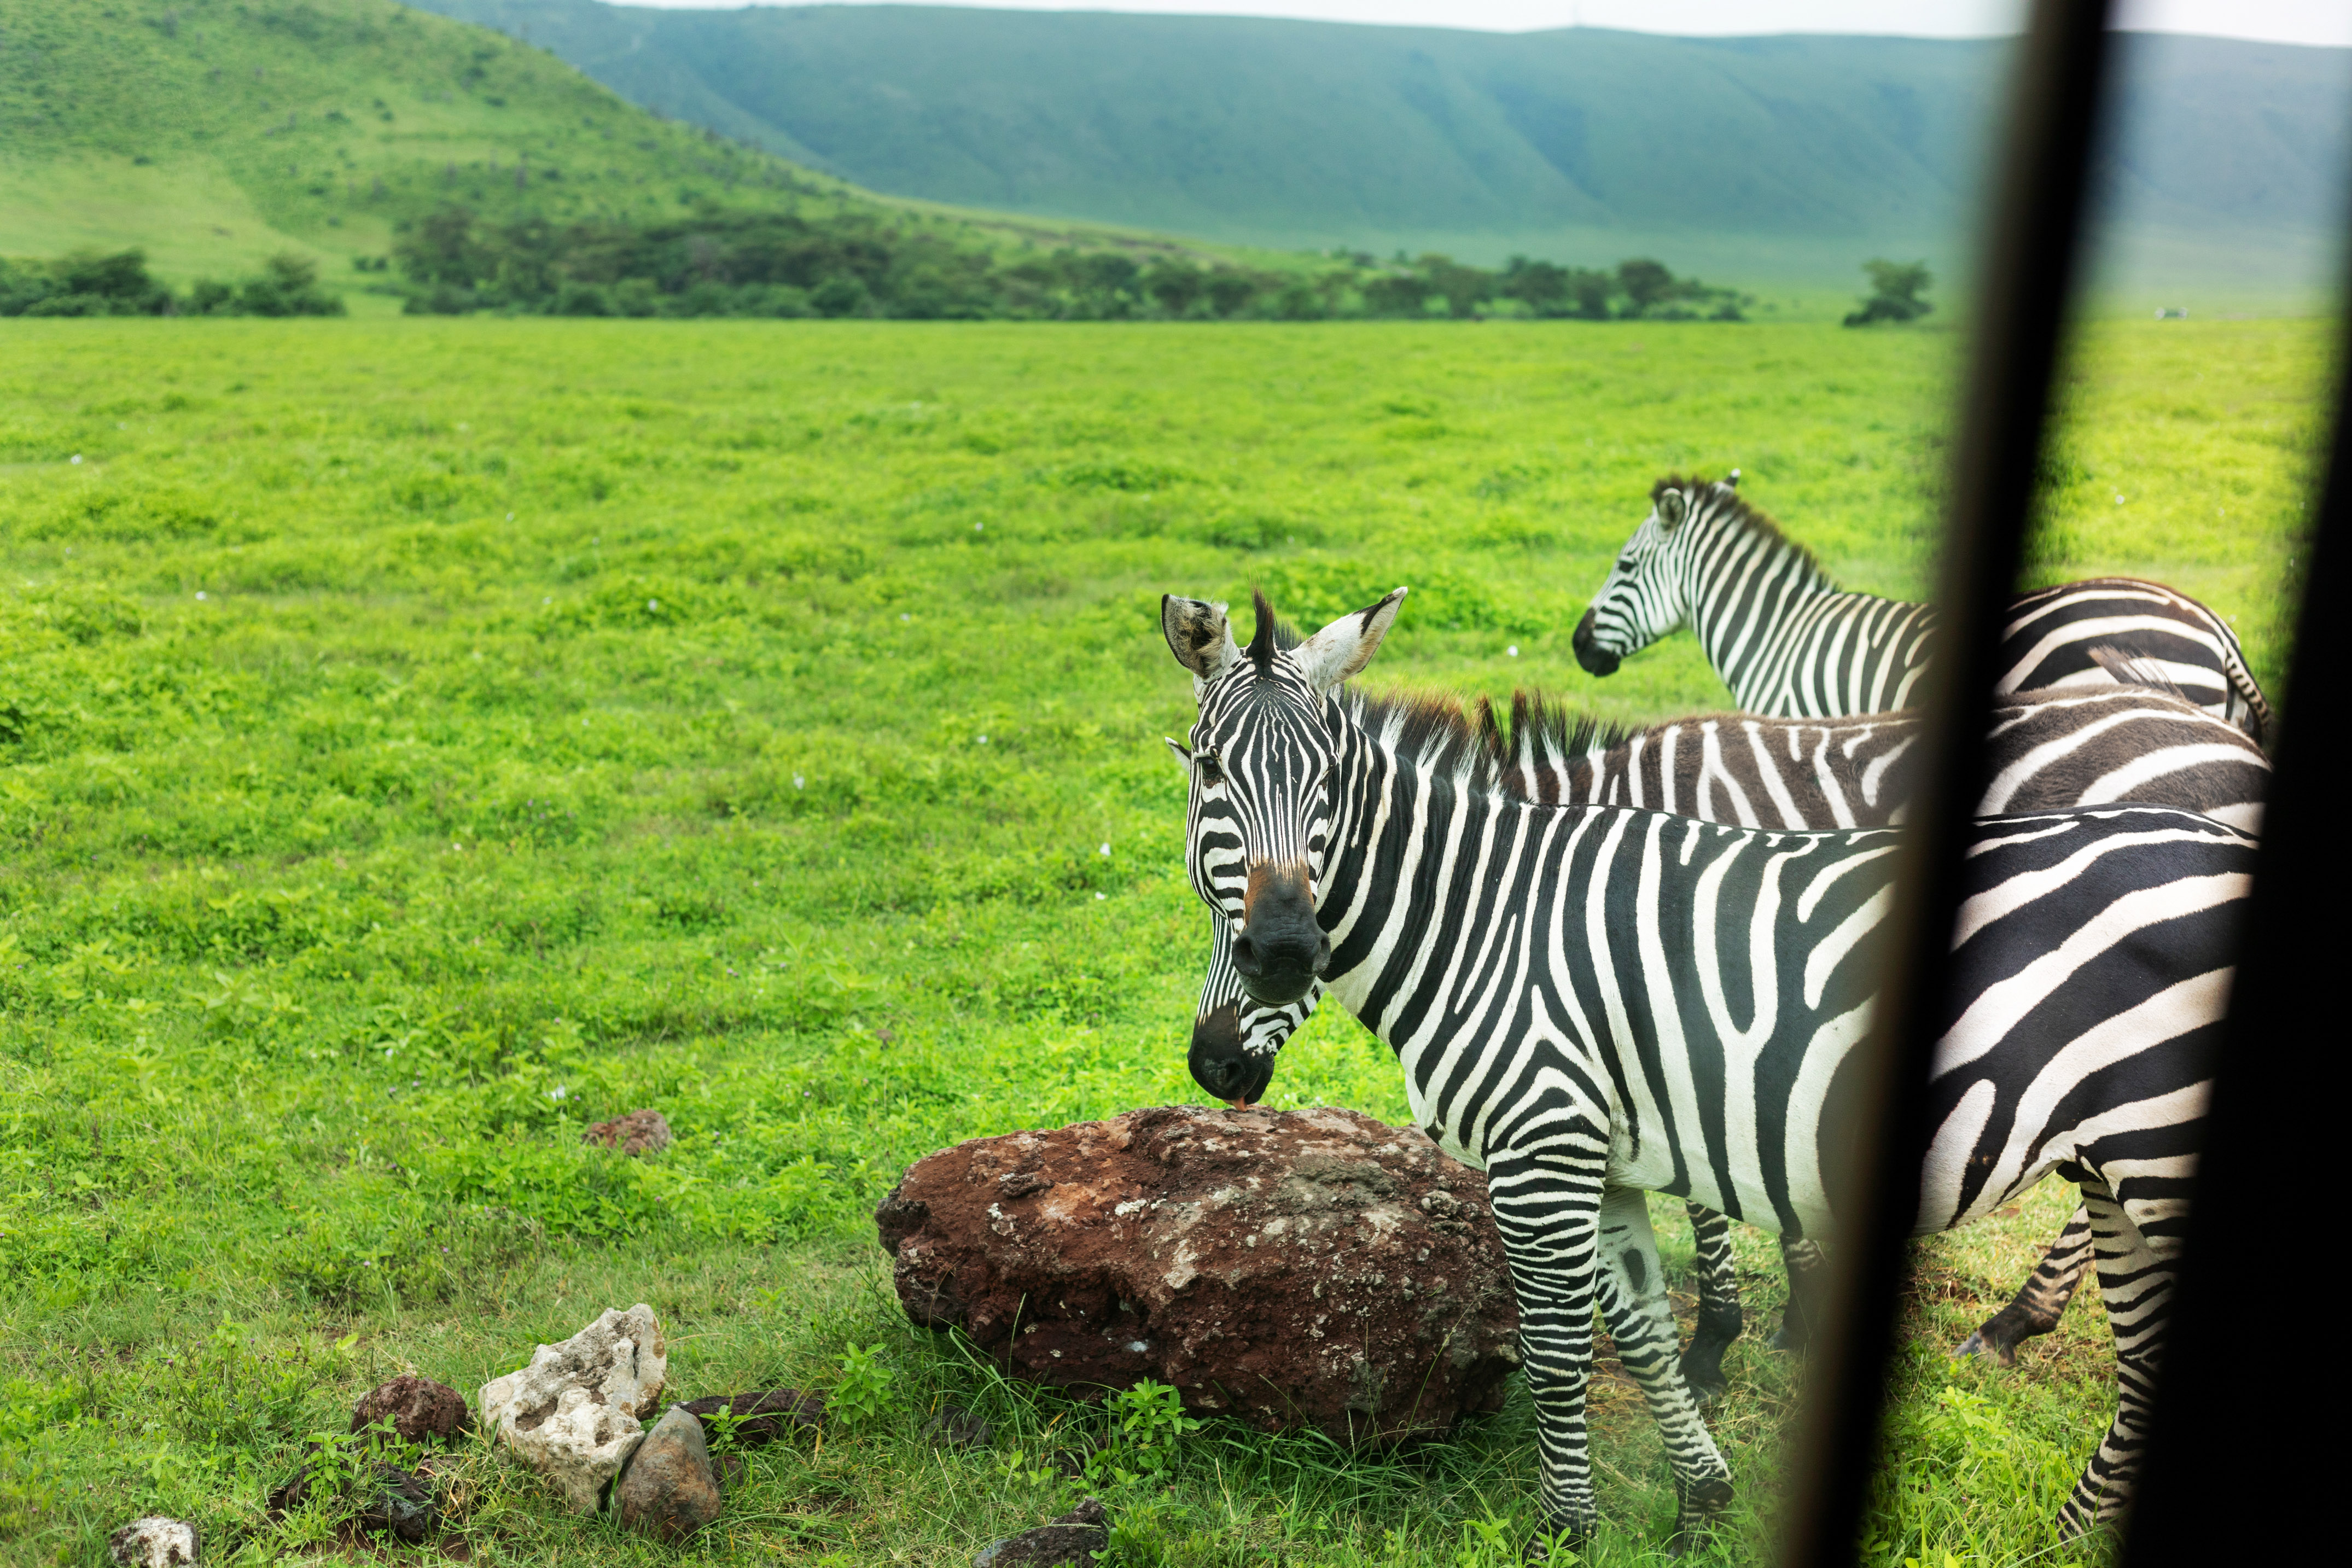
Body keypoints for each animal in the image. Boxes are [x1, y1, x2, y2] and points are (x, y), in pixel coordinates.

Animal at [1163, 587, 2252, 1548]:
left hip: (2157, 1147)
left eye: (1328, 781)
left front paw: (1564, 1532)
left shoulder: (1543, 1146)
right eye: (1209, 769)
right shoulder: (1601, 1149)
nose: (1281, 953)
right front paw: (1701, 1500)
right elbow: (1639, 1329)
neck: (1492, 918)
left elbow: (1560, 1352)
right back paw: (2063, 1534)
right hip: (2117, 1163)